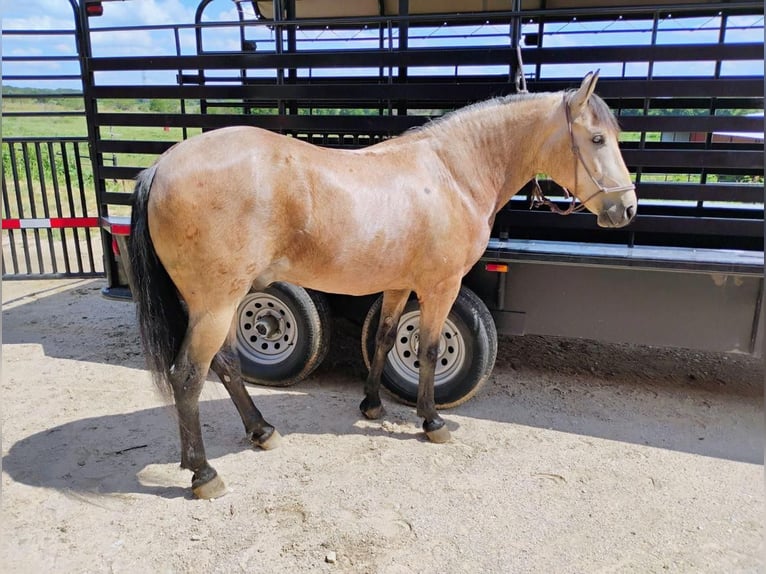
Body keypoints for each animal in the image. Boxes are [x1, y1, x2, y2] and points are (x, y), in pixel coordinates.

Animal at [129, 70, 640, 498]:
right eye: (596, 138)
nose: (627, 208)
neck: (451, 172)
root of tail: (162, 165)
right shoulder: (440, 287)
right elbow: (429, 350)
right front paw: (431, 420)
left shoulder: (398, 286)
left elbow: (384, 339)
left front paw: (372, 405)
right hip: (216, 305)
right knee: (188, 376)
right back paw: (203, 473)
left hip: (217, 304)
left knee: (228, 365)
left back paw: (261, 430)